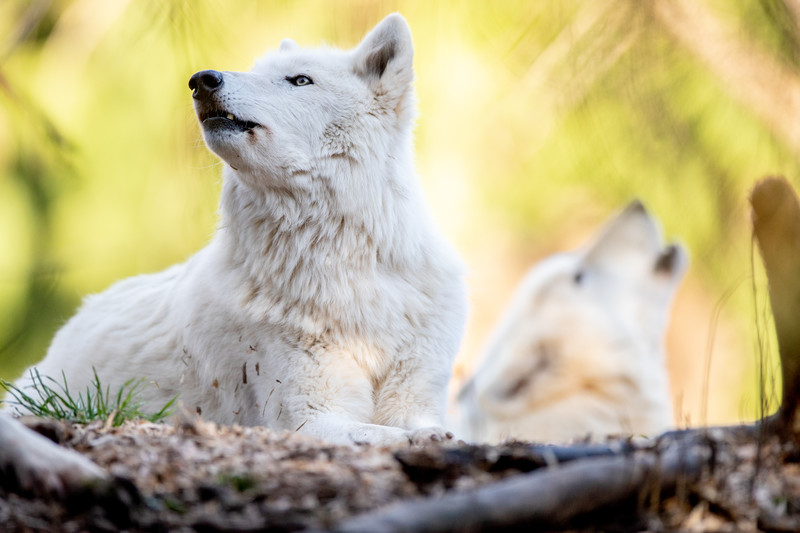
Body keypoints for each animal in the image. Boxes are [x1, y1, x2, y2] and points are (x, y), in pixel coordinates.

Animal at [9, 14, 467, 446]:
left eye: (300, 80)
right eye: (254, 70)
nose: (201, 80)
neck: (345, 269)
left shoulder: (416, 394)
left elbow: (425, 425)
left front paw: (434, 437)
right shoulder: (306, 418)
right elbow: (384, 434)